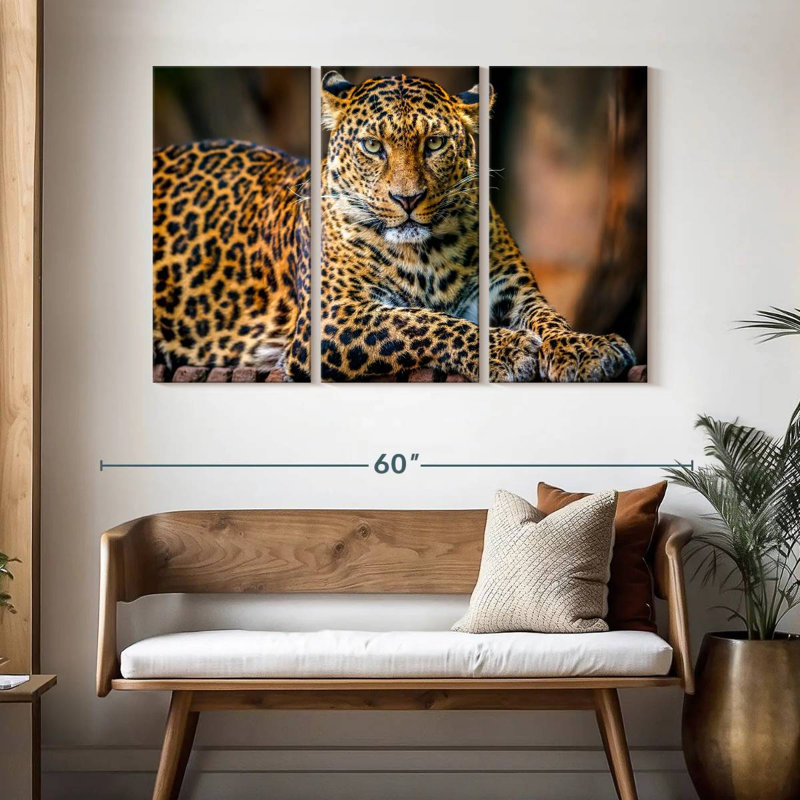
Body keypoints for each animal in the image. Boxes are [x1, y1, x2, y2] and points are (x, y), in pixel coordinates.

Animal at [153, 72, 635, 383]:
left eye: (435, 143)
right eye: (372, 146)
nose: (407, 199)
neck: (428, 253)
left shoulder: (509, 289)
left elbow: (548, 318)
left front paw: (584, 347)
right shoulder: (332, 316)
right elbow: (420, 322)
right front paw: (507, 349)